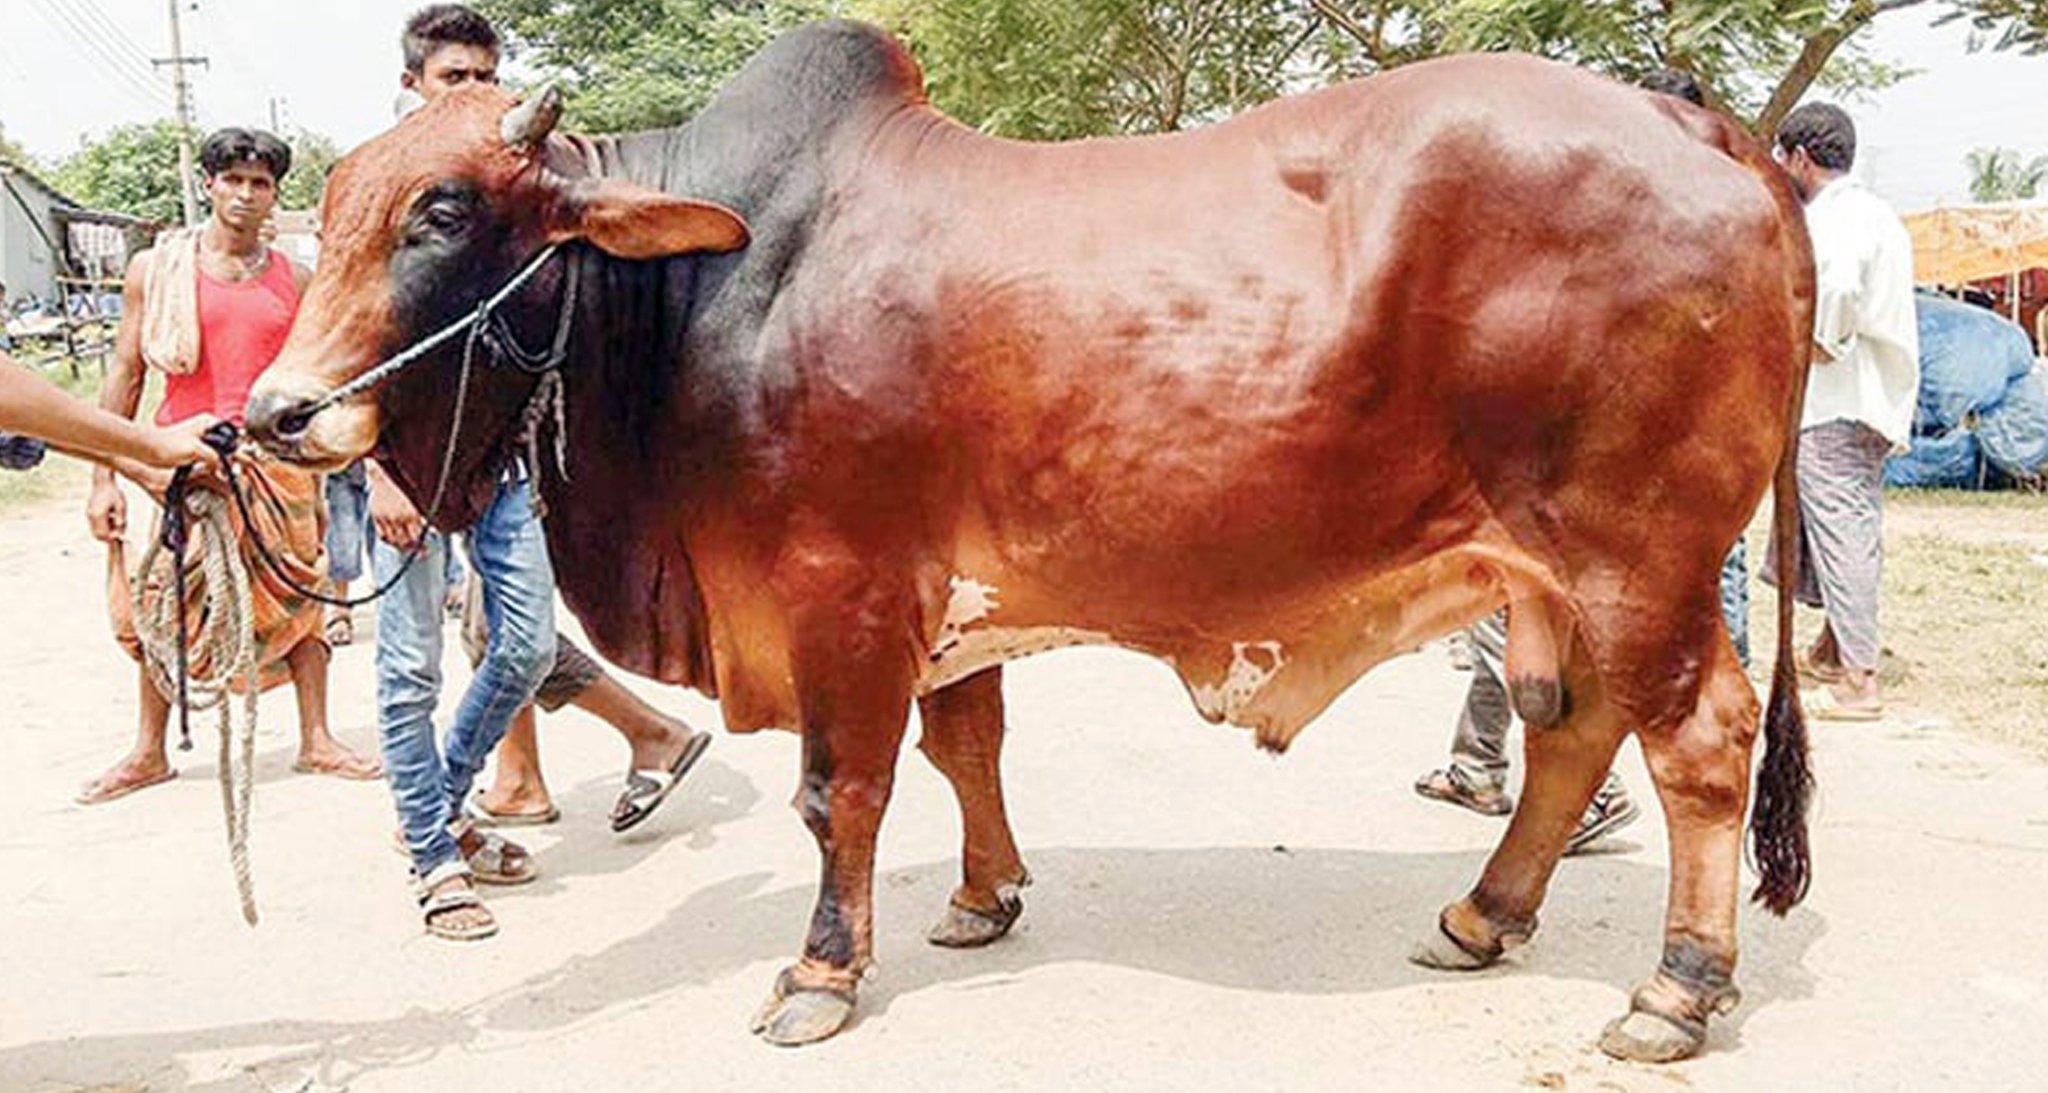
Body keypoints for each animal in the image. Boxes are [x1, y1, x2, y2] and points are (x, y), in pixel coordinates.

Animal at [251, 17, 1810, 1064]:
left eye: (444, 209)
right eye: (329, 208)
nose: (275, 411)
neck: (709, 292)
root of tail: (1712, 134)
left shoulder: (843, 589)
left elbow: (843, 790)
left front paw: (820, 974)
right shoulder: (945, 600)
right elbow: (966, 748)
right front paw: (982, 897)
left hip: (1642, 557)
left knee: (1695, 744)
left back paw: (1674, 988)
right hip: (1566, 574)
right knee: (1574, 730)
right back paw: (1484, 915)